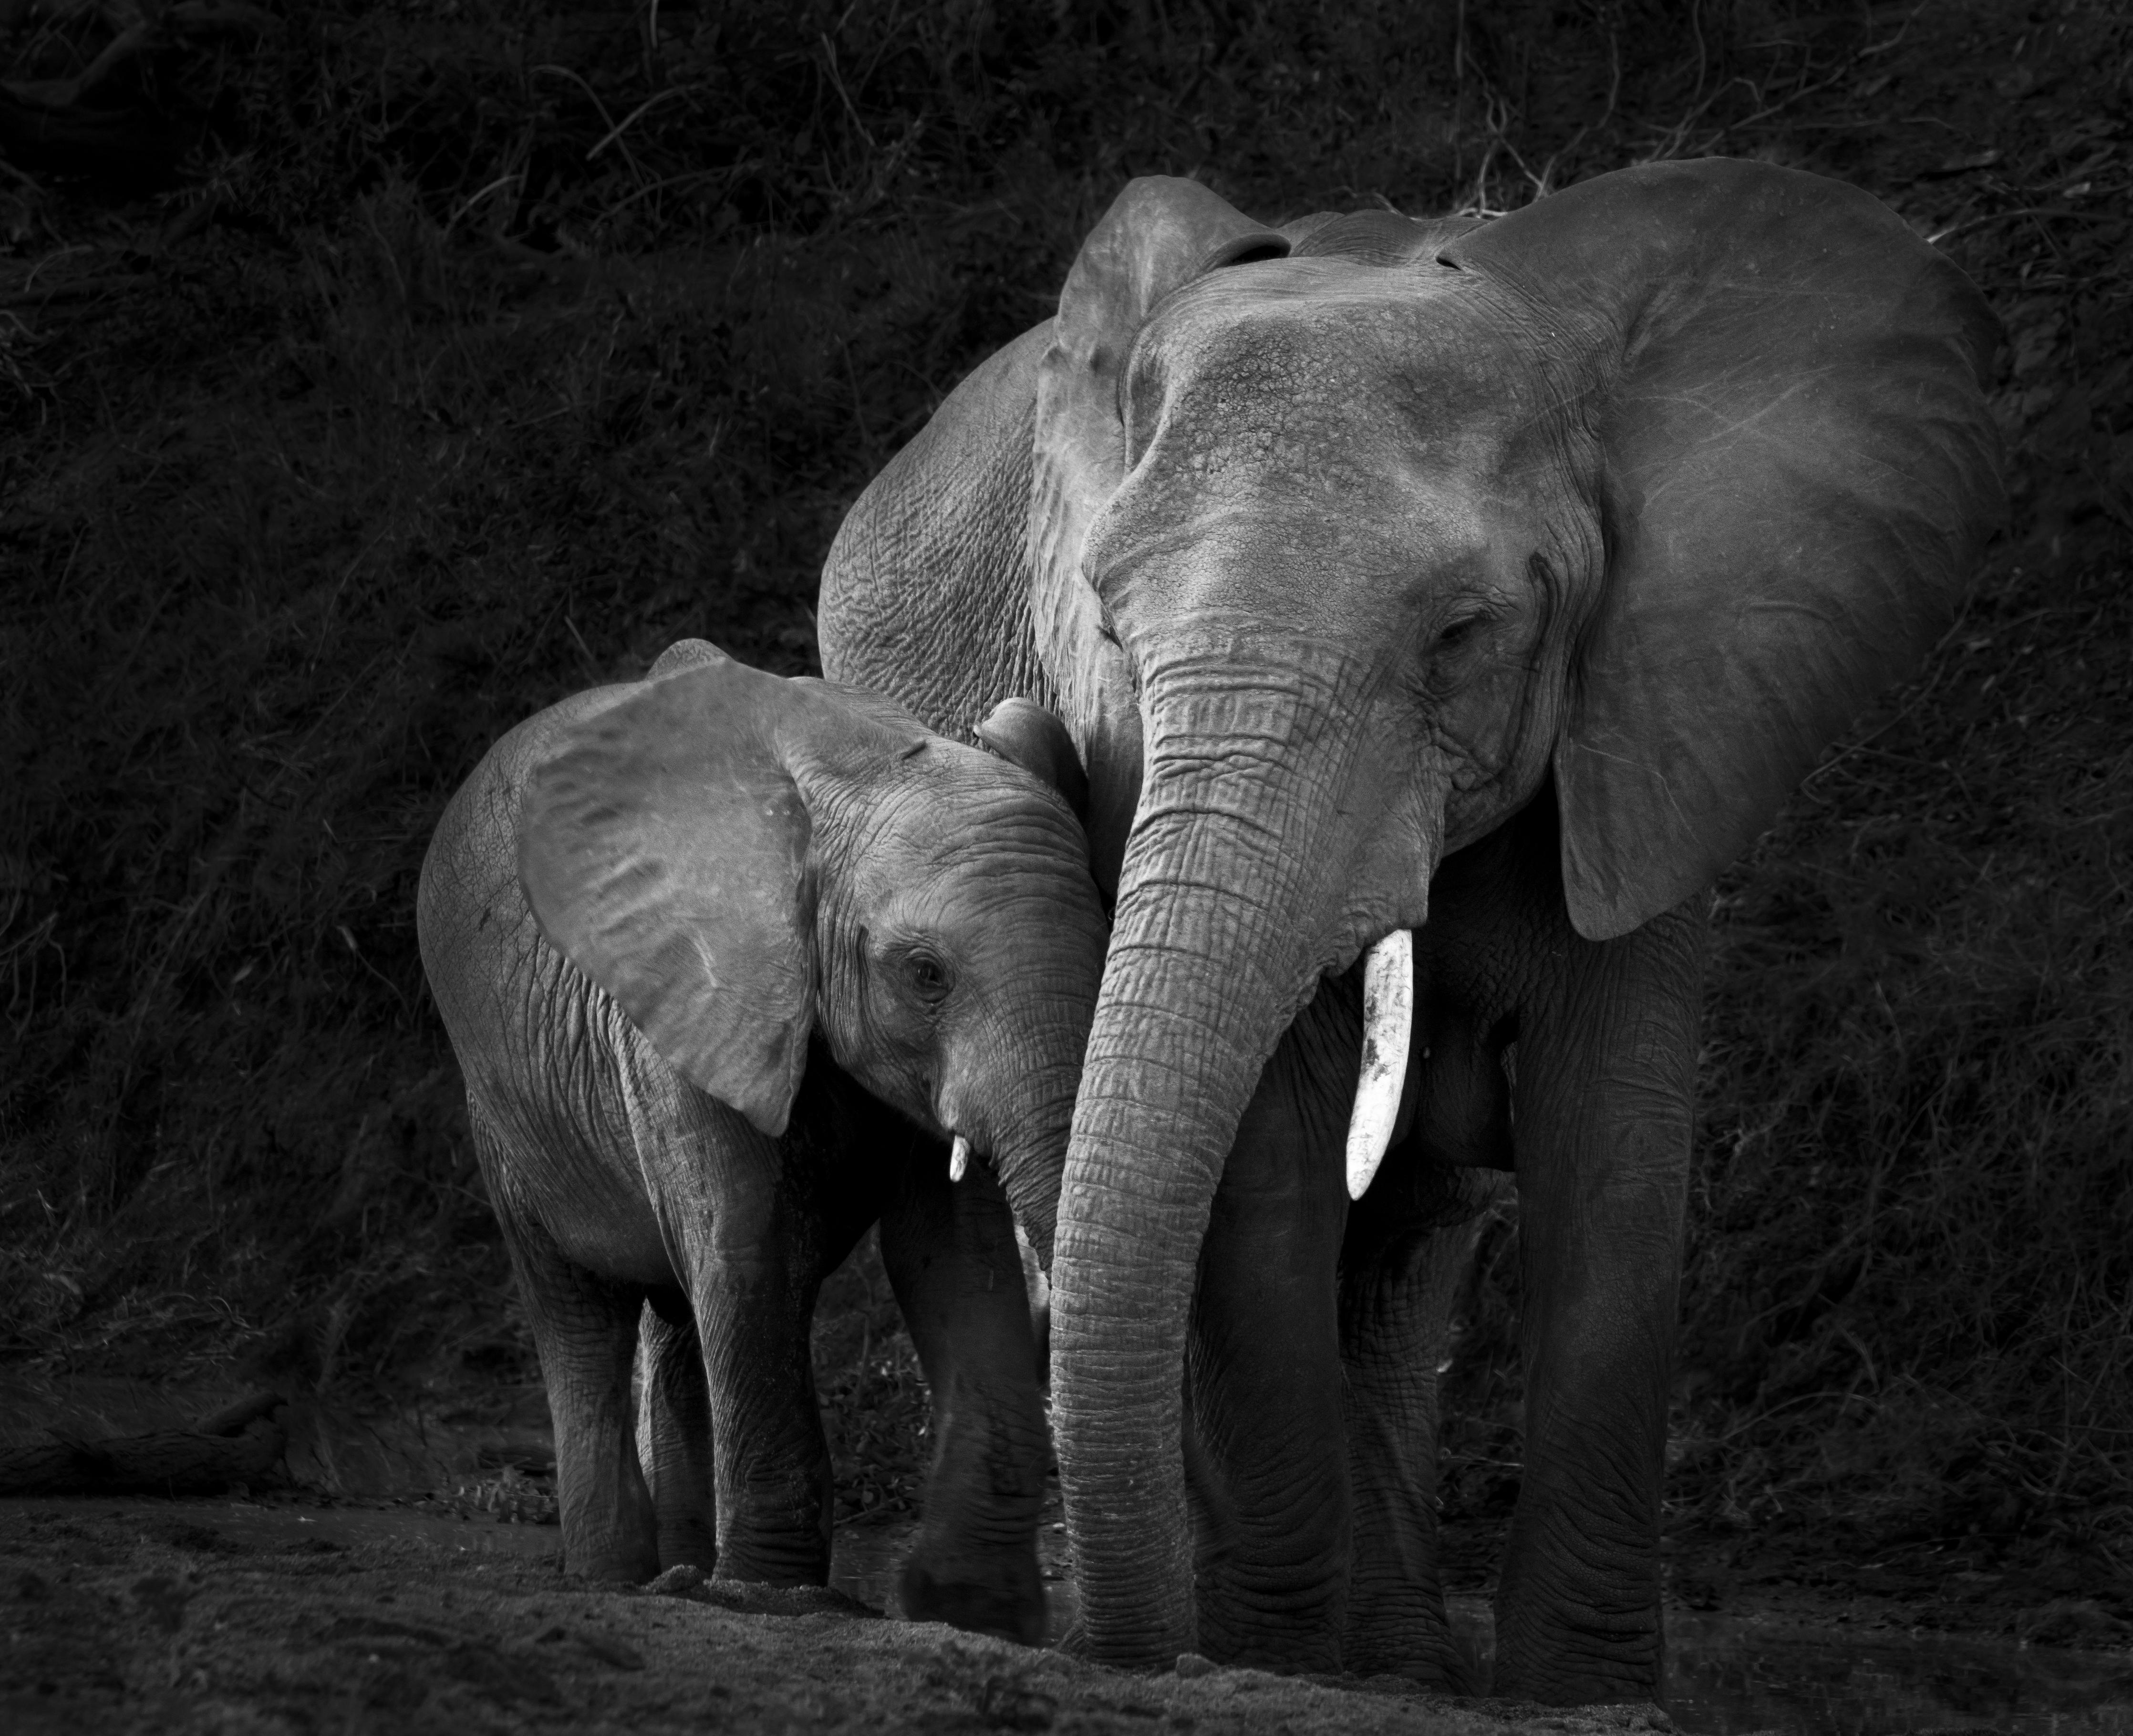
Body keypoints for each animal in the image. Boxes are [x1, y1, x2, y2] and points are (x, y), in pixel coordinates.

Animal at [422, 644, 1109, 1646]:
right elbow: (745, 1246)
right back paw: (615, 1578)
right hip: (502, 1110)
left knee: (676, 1323)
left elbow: (954, 1256)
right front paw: (775, 1598)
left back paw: (680, 1573)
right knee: (581, 1314)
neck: (849, 778)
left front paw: (976, 1614)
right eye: (924, 974)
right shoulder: (683, 988)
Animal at [815, 163, 1996, 1697]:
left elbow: (1613, 1146)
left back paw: (1390, 1657)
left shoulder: (1656, 725)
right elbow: (1272, 1149)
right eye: (1110, 636)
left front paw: (1580, 1693)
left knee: (1405, 1255)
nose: (1153, 1656)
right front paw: (1268, 1657)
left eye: (1460, 636)